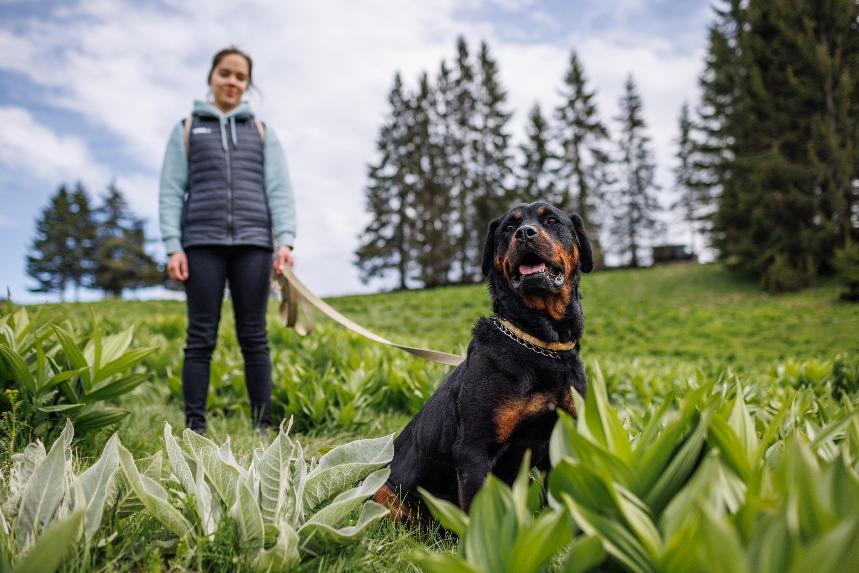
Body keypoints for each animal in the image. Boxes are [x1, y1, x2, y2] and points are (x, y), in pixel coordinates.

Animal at [372, 201, 596, 520]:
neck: (537, 342)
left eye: (552, 220)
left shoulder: (563, 441)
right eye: (509, 227)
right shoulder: (474, 452)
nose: (525, 233)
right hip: (384, 492)